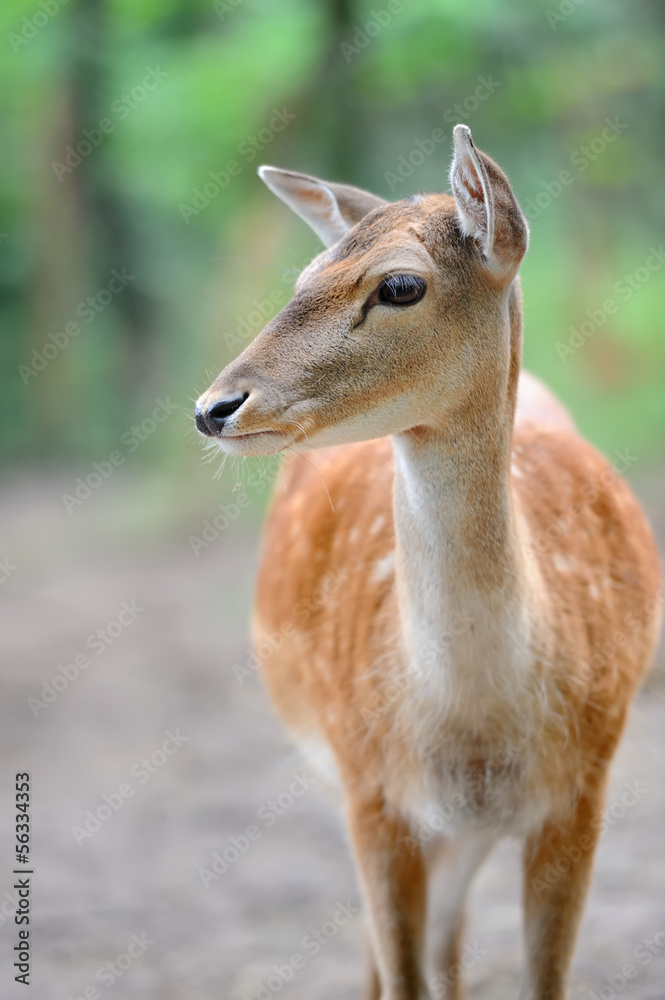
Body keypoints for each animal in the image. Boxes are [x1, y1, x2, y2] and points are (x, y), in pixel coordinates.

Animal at [192, 127, 660, 1000]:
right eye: (304, 275)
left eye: (400, 284)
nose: (214, 407)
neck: (473, 727)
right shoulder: (368, 786)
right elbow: (398, 971)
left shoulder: (581, 789)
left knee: (448, 937)